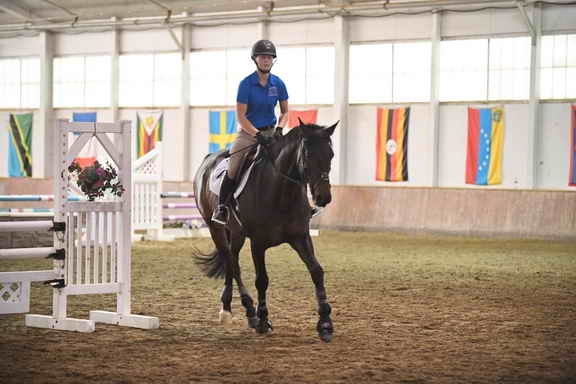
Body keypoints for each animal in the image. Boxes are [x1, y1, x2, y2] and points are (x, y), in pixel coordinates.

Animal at [194, 120, 338, 342]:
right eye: (307, 154)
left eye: (331, 154)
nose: (324, 197)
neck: (282, 191)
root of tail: (208, 159)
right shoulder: (258, 242)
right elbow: (262, 280)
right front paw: (263, 320)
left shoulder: (301, 237)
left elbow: (317, 271)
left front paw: (325, 324)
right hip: (216, 229)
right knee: (231, 263)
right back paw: (243, 312)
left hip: (235, 234)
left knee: (232, 261)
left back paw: (233, 308)